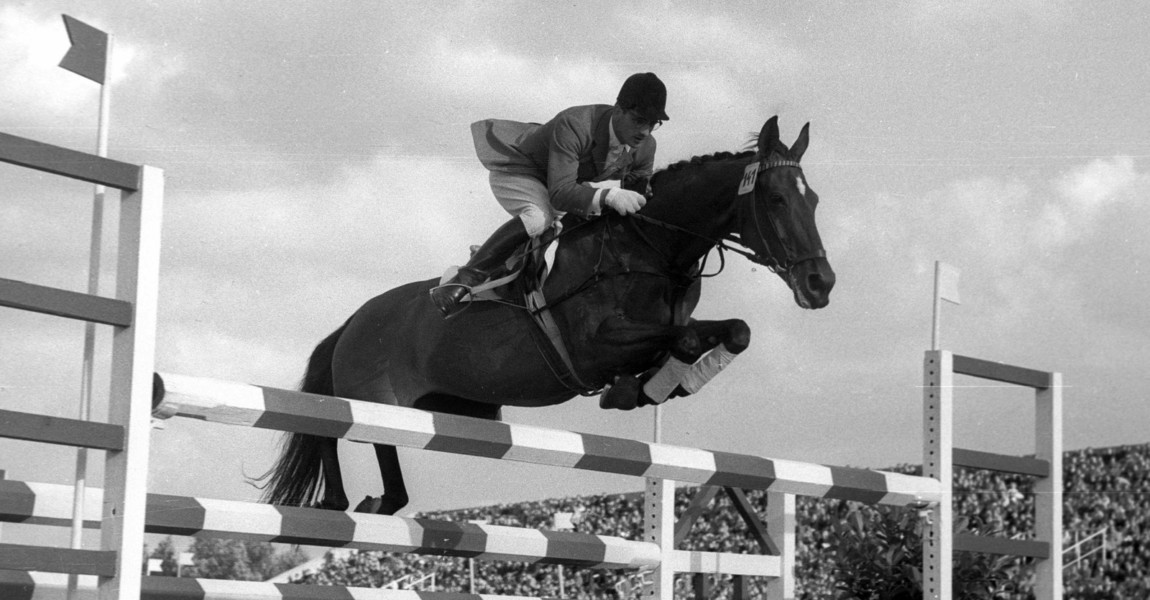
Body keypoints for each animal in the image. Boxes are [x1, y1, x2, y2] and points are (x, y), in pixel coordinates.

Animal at [256, 117, 837, 512]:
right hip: (371, 399)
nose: (821, 284)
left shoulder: (665, 327)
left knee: (381, 468)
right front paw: (636, 388)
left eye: (813, 201)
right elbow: (687, 339)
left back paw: (368, 502)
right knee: (327, 428)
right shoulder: (596, 343)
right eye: (777, 199)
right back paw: (340, 501)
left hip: (431, 409)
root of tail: (351, 323)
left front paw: (655, 386)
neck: (652, 248)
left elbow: (731, 332)